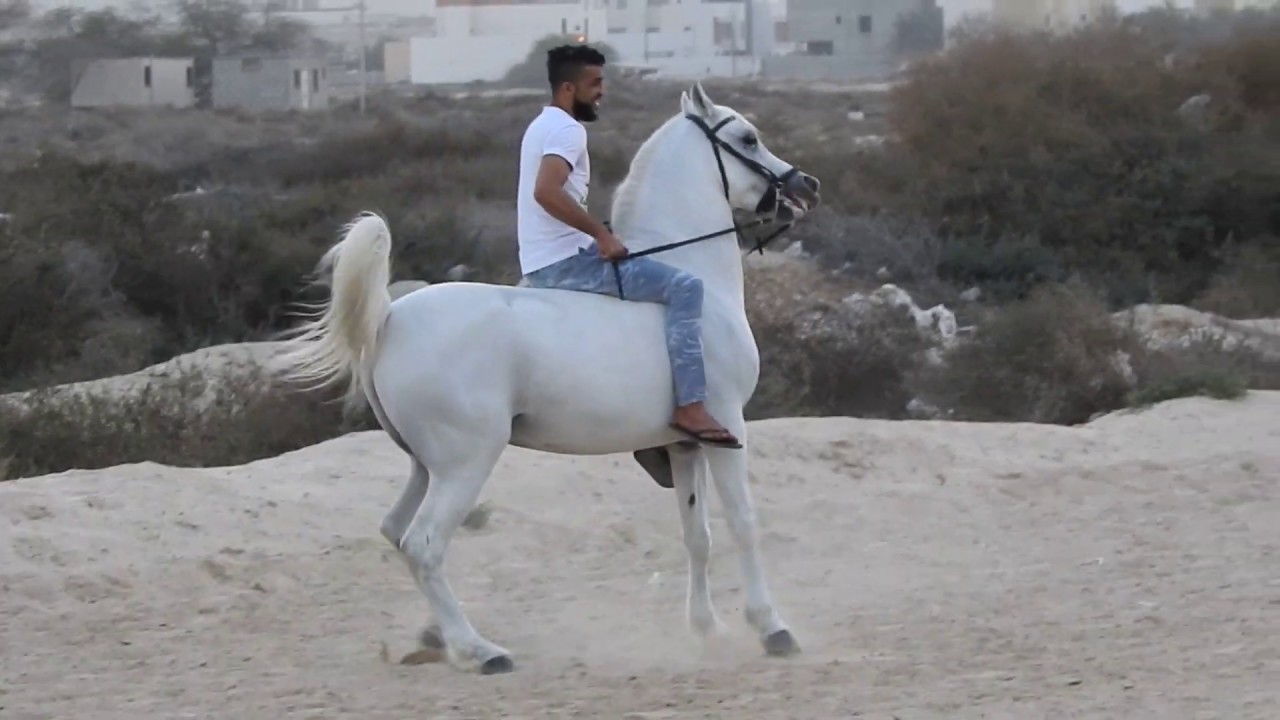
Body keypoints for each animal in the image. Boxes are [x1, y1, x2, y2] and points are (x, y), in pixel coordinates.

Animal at [270, 81, 823, 675]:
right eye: (748, 137)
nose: (806, 185)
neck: (696, 280)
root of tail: (390, 319)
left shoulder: (683, 446)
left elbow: (697, 535)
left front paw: (706, 629)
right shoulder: (726, 429)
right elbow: (743, 522)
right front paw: (771, 627)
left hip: (426, 465)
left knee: (397, 534)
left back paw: (437, 637)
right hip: (466, 463)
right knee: (424, 544)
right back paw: (479, 650)